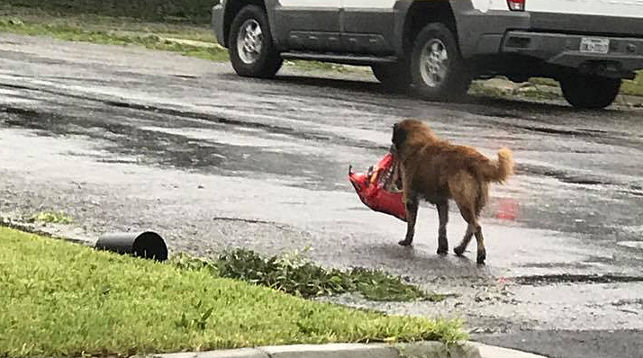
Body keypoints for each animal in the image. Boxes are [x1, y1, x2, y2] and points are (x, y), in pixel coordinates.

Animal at [390, 119, 516, 262]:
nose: (391, 148)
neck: (418, 141)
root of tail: (475, 159)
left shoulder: (411, 198)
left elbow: (412, 224)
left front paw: (407, 241)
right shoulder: (442, 202)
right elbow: (442, 226)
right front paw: (442, 247)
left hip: (463, 202)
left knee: (476, 227)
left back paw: (480, 254)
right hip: (475, 204)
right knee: (471, 228)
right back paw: (460, 249)